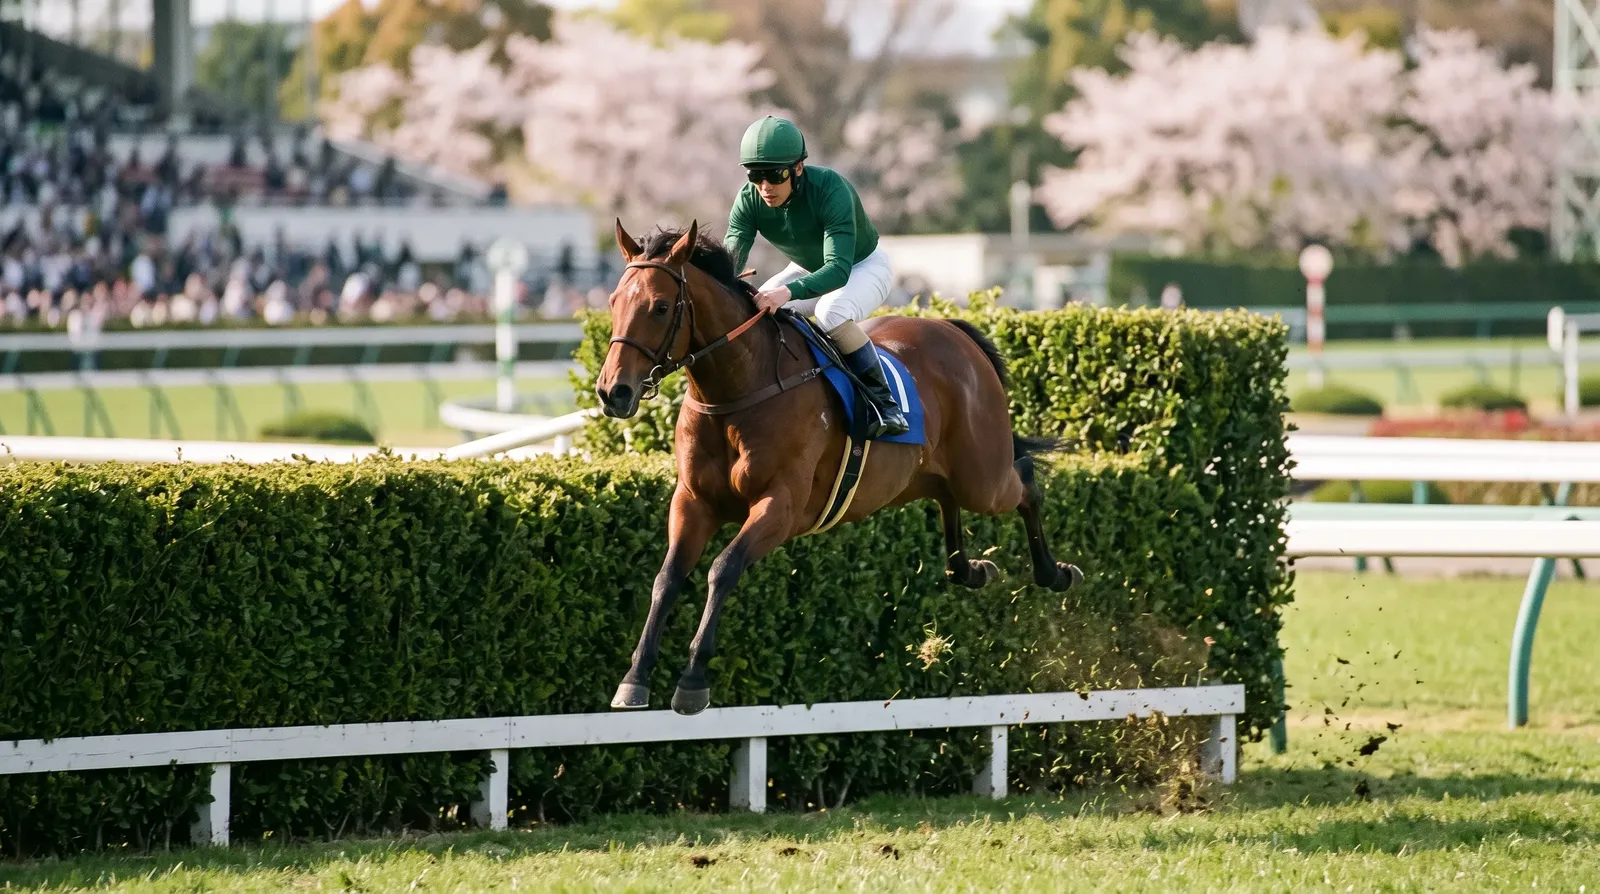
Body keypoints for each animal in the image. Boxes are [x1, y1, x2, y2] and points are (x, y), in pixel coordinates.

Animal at [595, 220, 1083, 716]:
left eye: (659, 307)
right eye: (614, 301)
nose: (613, 392)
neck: (738, 389)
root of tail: (953, 330)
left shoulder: (781, 505)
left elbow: (723, 568)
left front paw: (693, 679)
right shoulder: (693, 501)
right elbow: (667, 578)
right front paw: (634, 678)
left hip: (982, 476)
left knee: (1025, 481)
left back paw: (1055, 572)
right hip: (925, 474)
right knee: (947, 499)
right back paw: (972, 570)